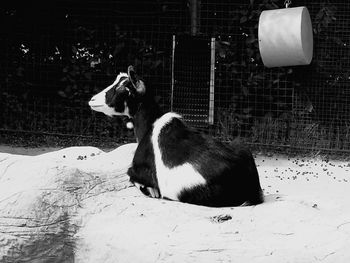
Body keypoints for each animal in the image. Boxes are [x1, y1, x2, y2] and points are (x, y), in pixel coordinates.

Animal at [89, 66, 264, 208]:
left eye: (121, 88)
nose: (92, 99)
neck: (148, 126)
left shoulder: (139, 168)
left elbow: (130, 174)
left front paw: (151, 190)